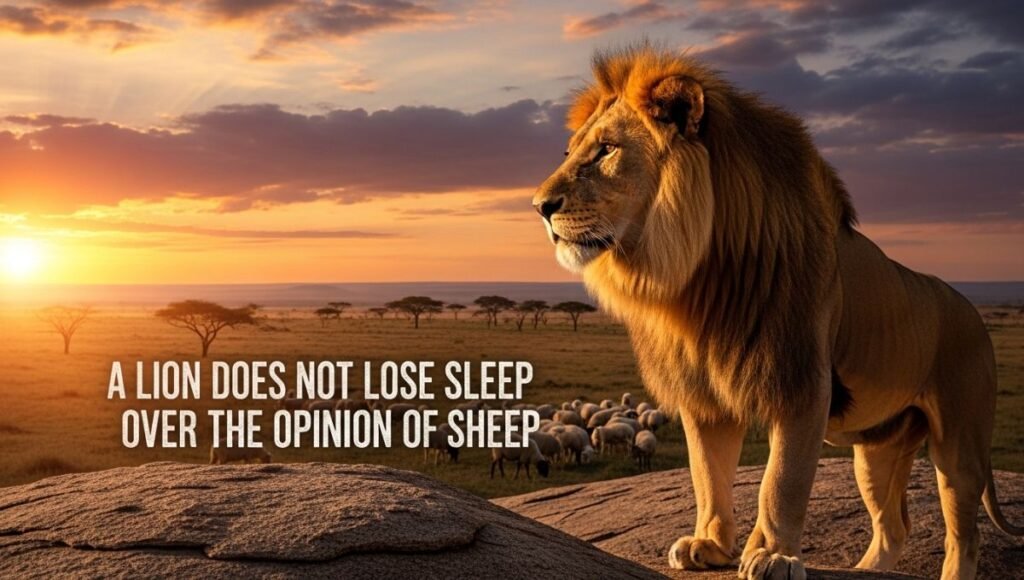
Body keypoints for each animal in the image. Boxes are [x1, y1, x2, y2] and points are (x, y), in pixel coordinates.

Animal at [532, 45, 1023, 580]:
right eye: (570, 153)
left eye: (606, 150)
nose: (539, 206)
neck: (696, 279)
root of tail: (971, 309)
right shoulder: (702, 395)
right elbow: (707, 474)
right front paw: (710, 545)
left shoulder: (800, 380)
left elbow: (781, 481)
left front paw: (773, 554)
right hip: (878, 448)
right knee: (893, 527)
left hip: (960, 442)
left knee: (965, 535)